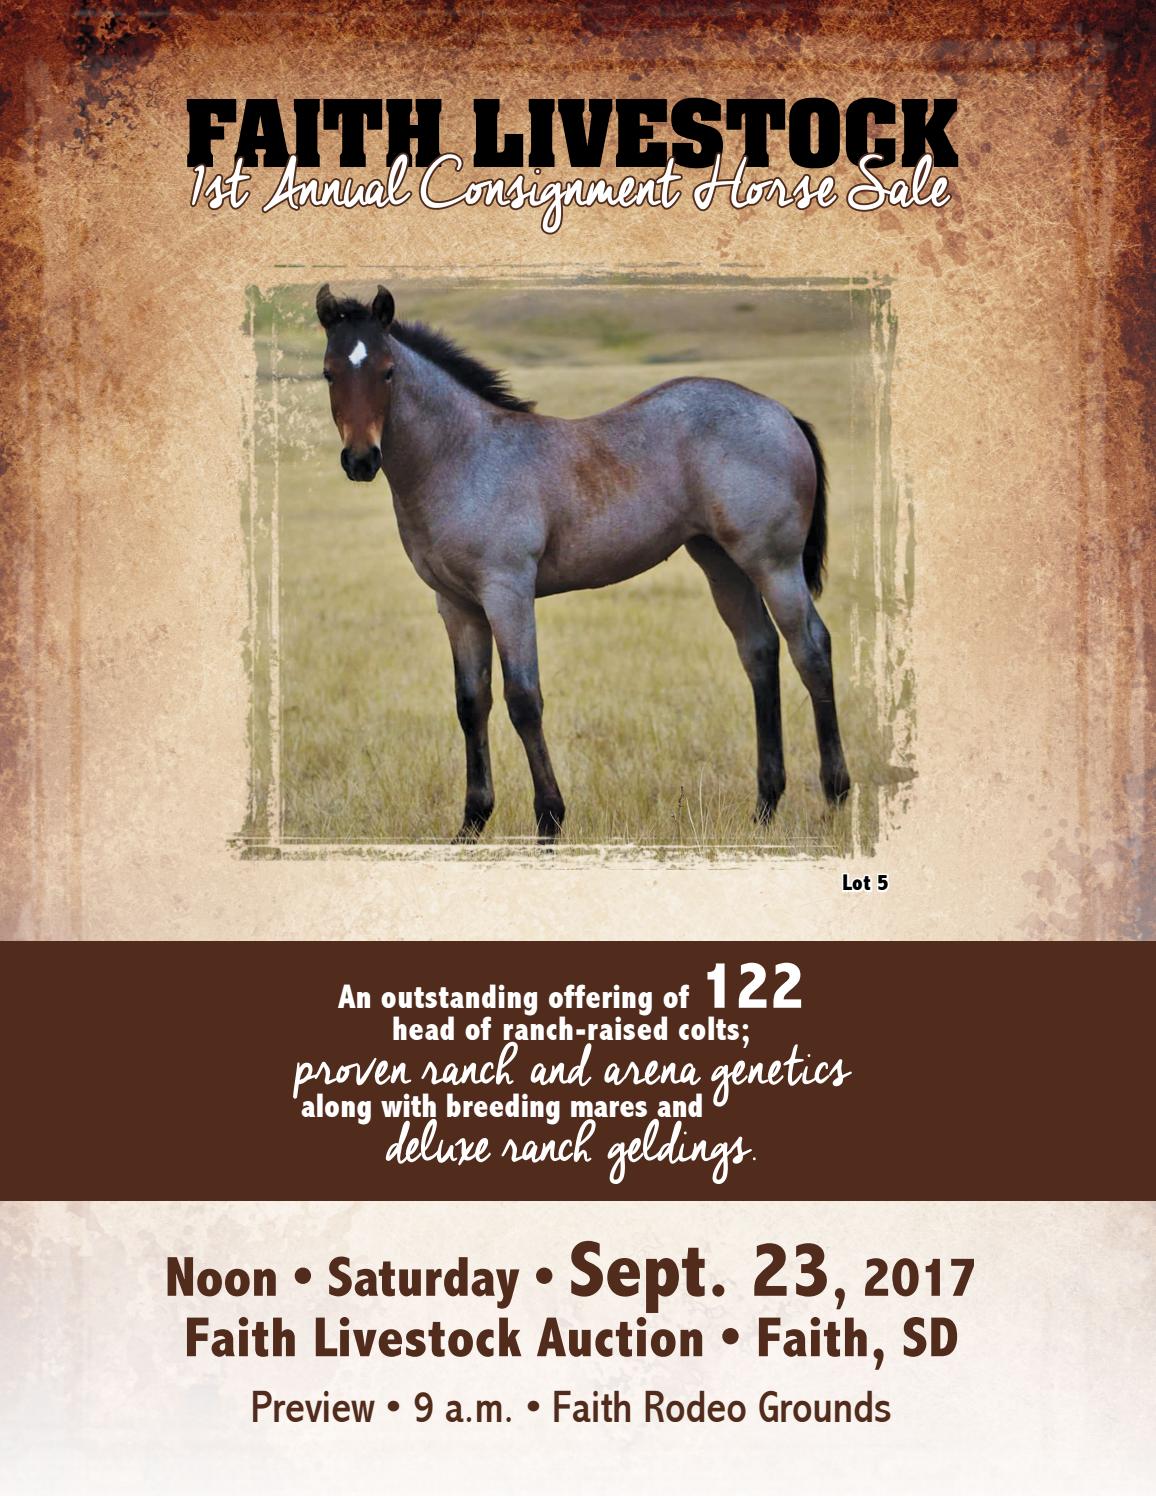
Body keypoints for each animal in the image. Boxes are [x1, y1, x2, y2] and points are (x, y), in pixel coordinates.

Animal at [315, 283, 851, 844]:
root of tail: (781, 412)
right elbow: (471, 704)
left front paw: (549, 821)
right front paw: (472, 824)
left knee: (810, 649)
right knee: (760, 653)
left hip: (773, 563)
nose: (360, 460)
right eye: (329, 372)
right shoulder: (457, 605)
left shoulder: (507, 592)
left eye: (387, 371)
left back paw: (834, 798)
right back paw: (765, 807)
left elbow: (523, 700)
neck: (463, 457)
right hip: (722, 564)